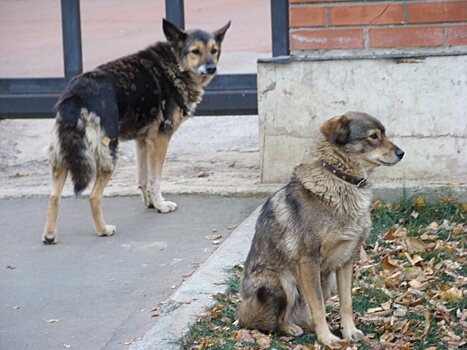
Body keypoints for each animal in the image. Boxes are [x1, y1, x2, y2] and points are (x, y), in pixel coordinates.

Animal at [41, 19, 230, 243]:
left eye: (214, 50)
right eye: (195, 51)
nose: (211, 68)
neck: (173, 63)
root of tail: (76, 94)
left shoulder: (142, 142)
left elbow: (143, 178)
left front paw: (151, 203)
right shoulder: (160, 140)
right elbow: (155, 179)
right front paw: (161, 205)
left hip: (63, 157)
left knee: (53, 196)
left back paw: (49, 235)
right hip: (108, 154)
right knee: (94, 196)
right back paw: (103, 230)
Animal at [238, 112, 406, 348]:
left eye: (384, 133)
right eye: (373, 136)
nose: (401, 153)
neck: (341, 180)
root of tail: (240, 313)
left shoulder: (346, 260)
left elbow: (346, 303)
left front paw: (349, 332)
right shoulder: (308, 261)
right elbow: (318, 306)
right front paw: (327, 339)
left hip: (327, 280)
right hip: (280, 282)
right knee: (268, 321)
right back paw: (289, 328)